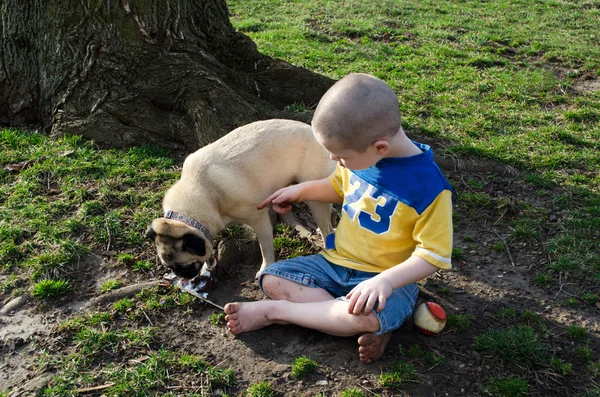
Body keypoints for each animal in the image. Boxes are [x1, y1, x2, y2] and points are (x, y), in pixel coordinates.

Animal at [144, 117, 336, 278]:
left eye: (185, 266)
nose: (182, 276)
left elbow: (265, 247)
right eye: (169, 267)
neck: (207, 192)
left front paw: (265, 267)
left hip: (314, 199)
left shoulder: (259, 219)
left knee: (326, 226)